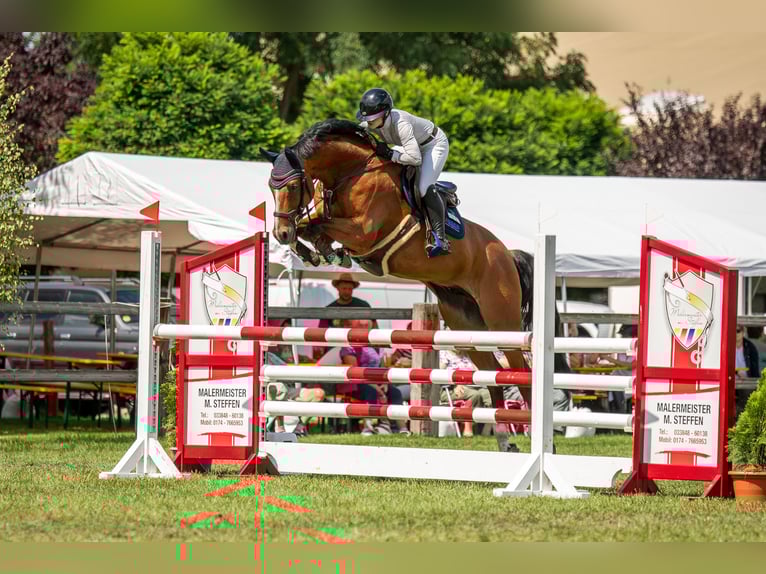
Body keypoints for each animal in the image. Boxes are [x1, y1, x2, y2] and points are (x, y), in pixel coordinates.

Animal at [261, 119, 567, 452]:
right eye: (271, 187)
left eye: (292, 186)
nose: (280, 233)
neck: (352, 173)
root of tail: (507, 255)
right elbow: (314, 223)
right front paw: (315, 250)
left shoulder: (362, 231)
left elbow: (320, 223)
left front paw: (320, 248)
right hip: (465, 324)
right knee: (492, 373)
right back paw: (504, 441)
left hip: (502, 321)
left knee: (520, 370)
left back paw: (540, 441)